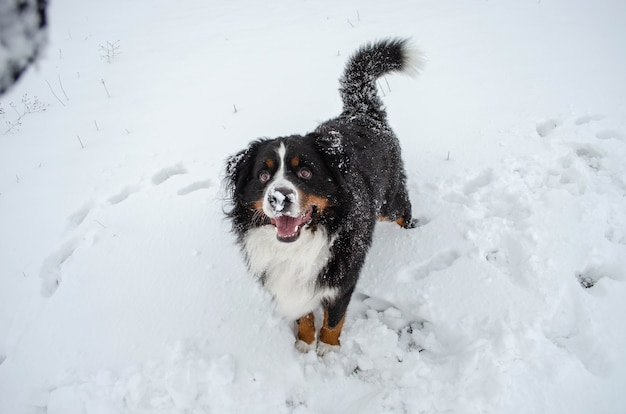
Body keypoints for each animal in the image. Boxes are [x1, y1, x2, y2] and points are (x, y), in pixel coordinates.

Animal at [222, 38, 422, 354]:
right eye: (264, 176)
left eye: (305, 172)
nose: (279, 198)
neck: (300, 246)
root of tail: (361, 111)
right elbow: (304, 315)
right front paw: (304, 342)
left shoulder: (342, 278)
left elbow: (334, 319)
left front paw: (328, 350)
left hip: (391, 202)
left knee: (403, 210)